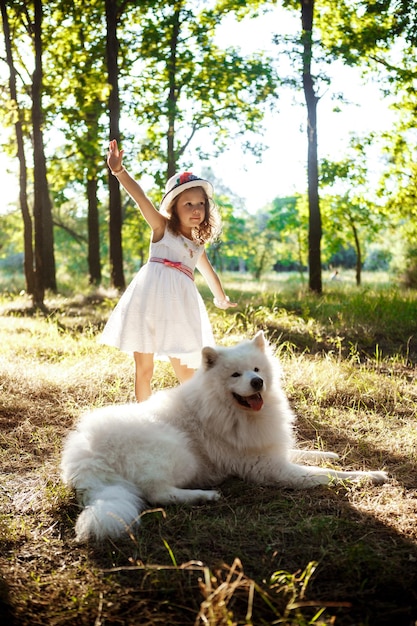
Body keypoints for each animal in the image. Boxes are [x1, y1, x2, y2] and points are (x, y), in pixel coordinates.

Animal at [61, 332, 386, 540]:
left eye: (256, 369)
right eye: (235, 375)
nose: (257, 382)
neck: (232, 411)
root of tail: (87, 457)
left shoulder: (270, 449)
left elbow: (308, 453)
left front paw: (331, 453)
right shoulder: (270, 468)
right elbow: (328, 475)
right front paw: (371, 476)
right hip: (179, 452)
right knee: (157, 493)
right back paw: (204, 495)